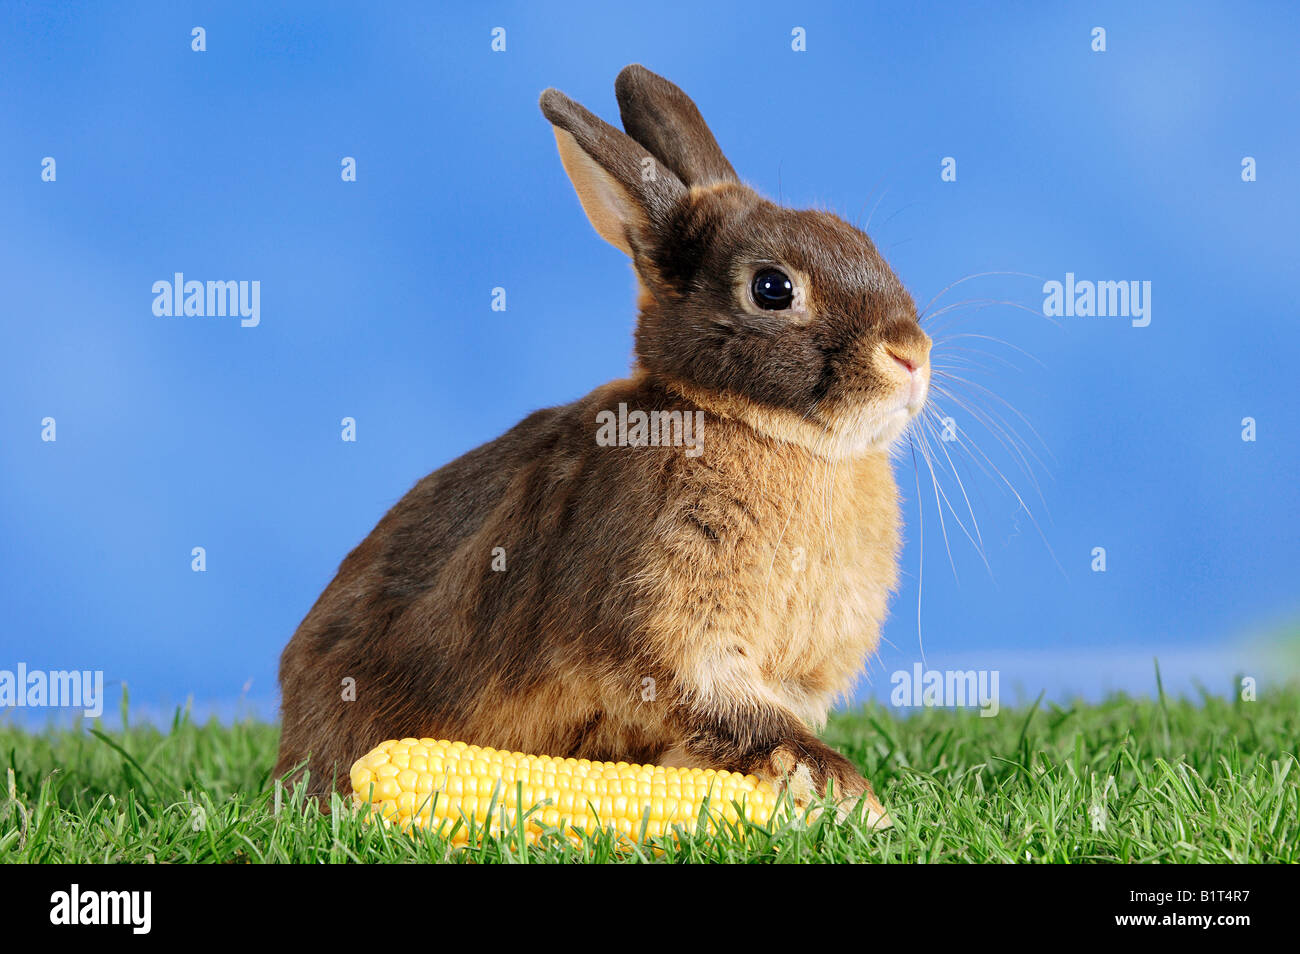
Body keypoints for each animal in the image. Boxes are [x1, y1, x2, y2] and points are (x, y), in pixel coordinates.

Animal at [275, 64, 931, 829]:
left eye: (859, 240)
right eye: (773, 287)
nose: (911, 356)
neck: (761, 427)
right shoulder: (673, 630)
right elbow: (743, 718)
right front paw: (850, 797)